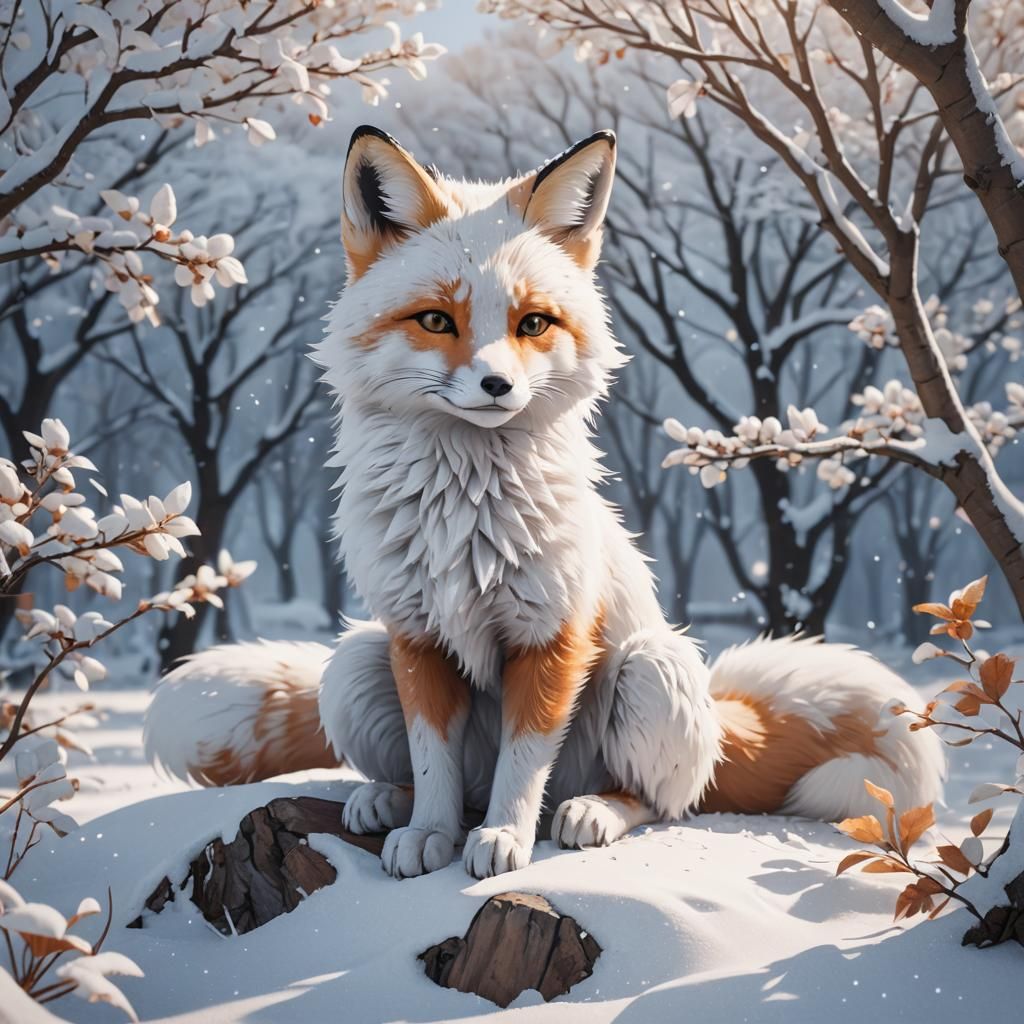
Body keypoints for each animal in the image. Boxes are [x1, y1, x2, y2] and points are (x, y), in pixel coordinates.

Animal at [144, 126, 944, 881]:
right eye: (436, 321)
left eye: (533, 323)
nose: (498, 385)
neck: (462, 516)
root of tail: (720, 731)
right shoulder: (417, 637)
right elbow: (432, 759)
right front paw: (431, 835)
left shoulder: (552, 635)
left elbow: (524, 766)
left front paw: (503, 840)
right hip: (354, 661)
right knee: (447, 780)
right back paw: (388, 802)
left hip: (653, 670)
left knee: (658, 803)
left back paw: (591, 811)